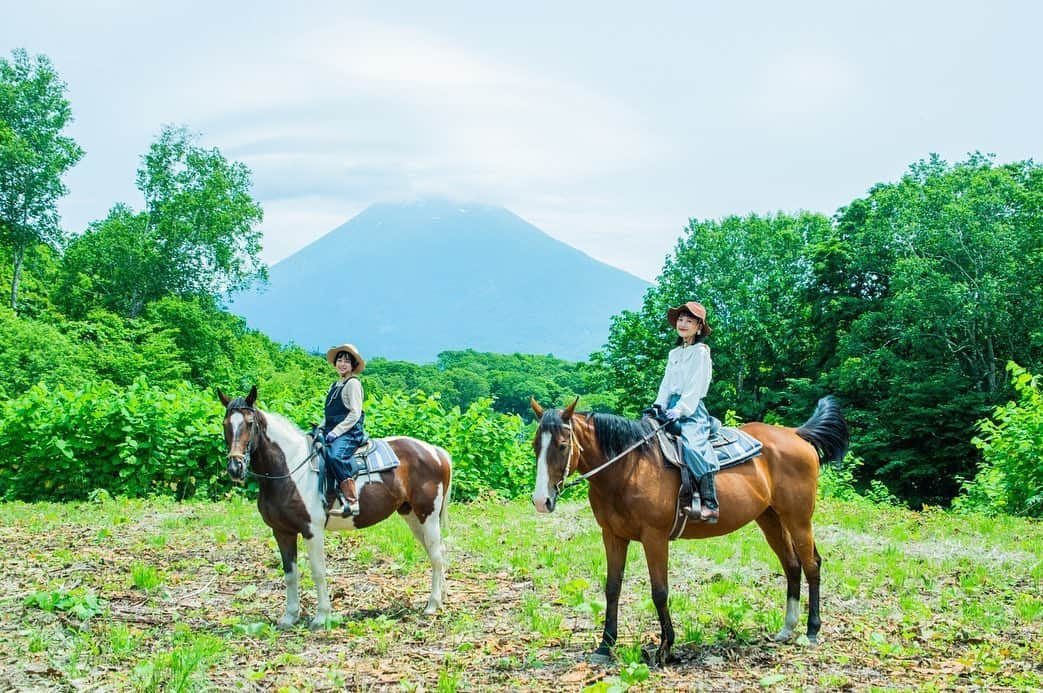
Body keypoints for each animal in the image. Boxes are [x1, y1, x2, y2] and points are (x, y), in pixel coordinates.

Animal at [217, 384, 450, 626]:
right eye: (226, 424)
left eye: (249, 423)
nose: (235, 467)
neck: (290, 469)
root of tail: (436, 452)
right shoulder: (282, 532)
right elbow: (290, 574)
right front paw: (290, 616)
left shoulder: (312, 530)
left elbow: (318, 572)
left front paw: (321, 617)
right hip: (413, 516)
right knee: (438, 553)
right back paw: (440, 599)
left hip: (428, 516)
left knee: (436, 556)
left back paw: (432, 605)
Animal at [529, 394, 846, 667]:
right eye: (535, 446)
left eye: (562, 445)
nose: (541, 501)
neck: (629, 467)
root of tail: (796, 434)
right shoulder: (613, 536)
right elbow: (612, 589)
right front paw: (605, 646)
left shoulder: (655, 537)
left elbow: (659, 591)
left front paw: (665, 648)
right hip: (770, 518)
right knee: (792, 565)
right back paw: (786, 629)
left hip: (799, 518)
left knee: (811, 564)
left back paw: (812, 631)